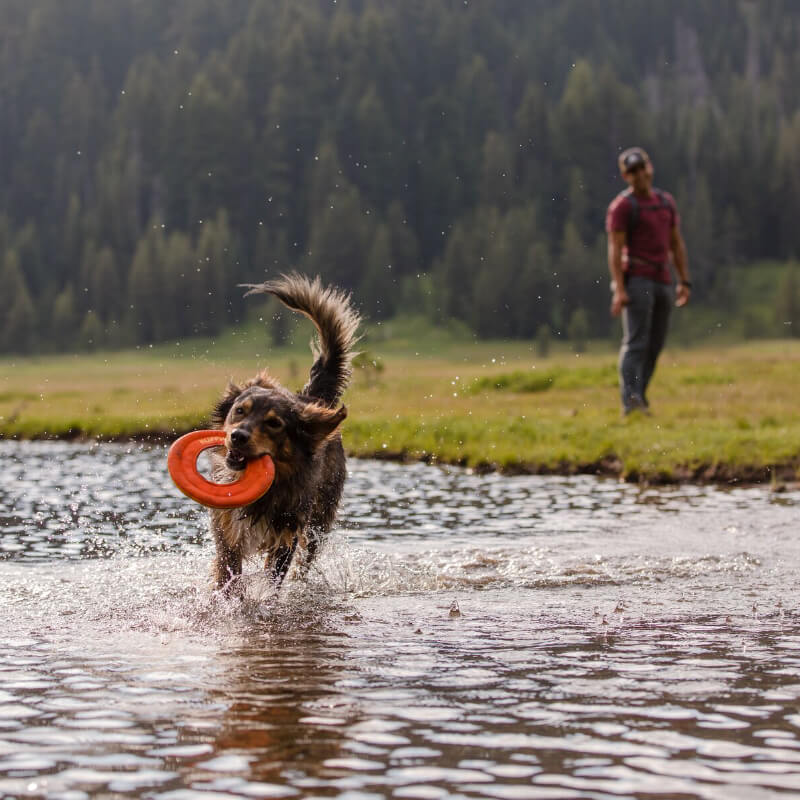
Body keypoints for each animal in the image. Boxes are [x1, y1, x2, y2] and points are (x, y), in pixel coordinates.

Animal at [206, 272, 360, 592]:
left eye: (274, 423)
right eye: (239, 410)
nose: (237, 436)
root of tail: (311, 398)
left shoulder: (286, 537)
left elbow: (272, 579)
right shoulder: (227, 532)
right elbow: (227, 576)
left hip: (318, 522)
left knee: (306, 560)